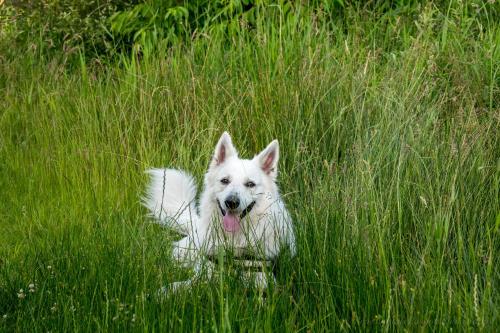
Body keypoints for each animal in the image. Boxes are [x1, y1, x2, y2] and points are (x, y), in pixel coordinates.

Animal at [143, 131, 294, 290]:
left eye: (250, 184)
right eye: (225, 181)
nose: (231, 202)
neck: (235, 240)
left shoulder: (263, 279)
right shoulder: (204, 273)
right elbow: (181, 284)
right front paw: (160, 292)